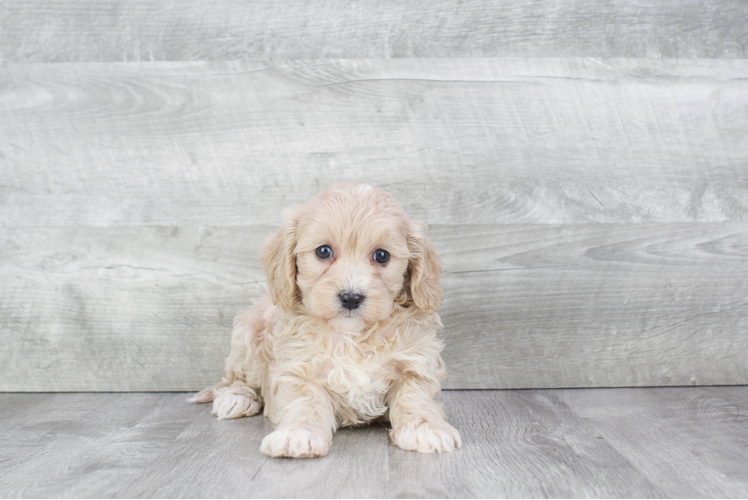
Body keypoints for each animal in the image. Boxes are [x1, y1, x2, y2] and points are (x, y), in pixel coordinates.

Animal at [191, 183, 462, 458]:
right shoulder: (297, 369)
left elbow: (415, 397)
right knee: (235, 378)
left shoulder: (416, 363)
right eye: (323, 251)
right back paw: (236, 397)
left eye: (382, 255)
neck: (353, 337)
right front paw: (298, 434)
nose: (351, 297)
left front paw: (425, 429)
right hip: (247, 335)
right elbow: (304, 402)